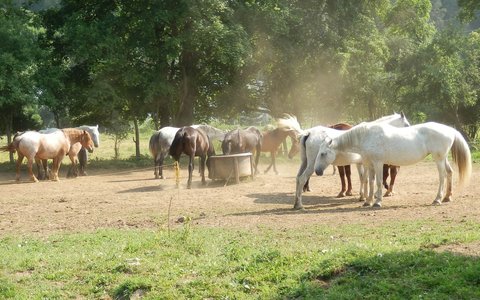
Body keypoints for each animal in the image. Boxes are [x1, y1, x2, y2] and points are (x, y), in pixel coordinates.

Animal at [276, 113, 410, 210]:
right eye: (407, 125)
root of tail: (307, 133)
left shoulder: (361, 163)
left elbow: (363, 179)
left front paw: (363, 197)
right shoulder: (367, 163)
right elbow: (367, 179)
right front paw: (367, 197)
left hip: (305, 162)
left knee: (298, 178)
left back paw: (296, 203)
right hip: (311, 165)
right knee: (303, 178)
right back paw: (300, 205)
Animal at [316, 121, 470, 206]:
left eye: (323, 153)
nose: (317, 171)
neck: (366, 136)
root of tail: (450, 129)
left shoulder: (378, 163)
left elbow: (378, 182)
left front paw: (377, 202)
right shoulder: (369, 164)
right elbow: (370, 182)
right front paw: (367, 201)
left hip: (438, 159)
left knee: (442, 176)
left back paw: (437, 199)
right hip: (443, 158)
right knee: (449, 173)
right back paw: (447, 197)